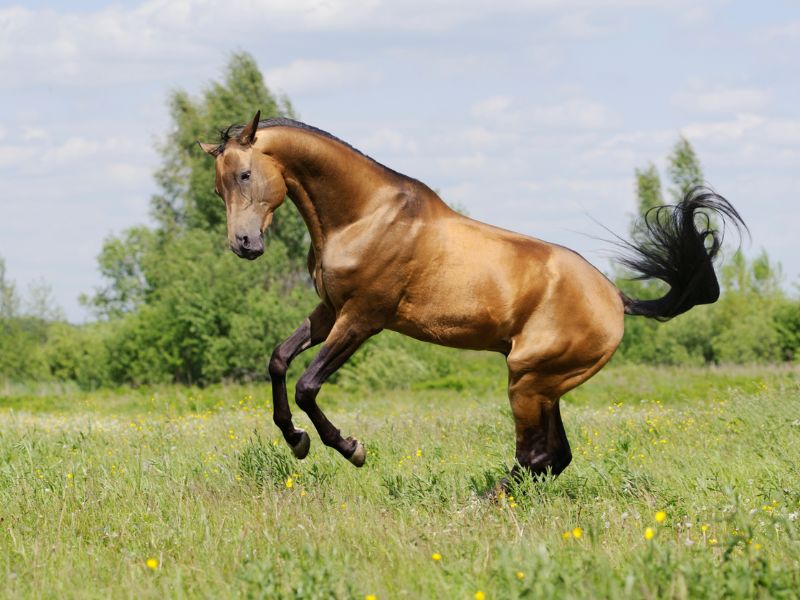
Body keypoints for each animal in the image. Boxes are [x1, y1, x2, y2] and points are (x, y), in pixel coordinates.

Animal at [198, 110, 744, 480]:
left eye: (245, 174)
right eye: (219, 188)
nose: (244, 245)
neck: (364, 216)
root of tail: (615, 298)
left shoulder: (362, 319)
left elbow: (308, 384)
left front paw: (350, 448)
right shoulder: (330, 310)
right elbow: (278, 360)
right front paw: (297, 441)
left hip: (528, 382)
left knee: (536, 456)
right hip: (546, 385)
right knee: (553, 457)